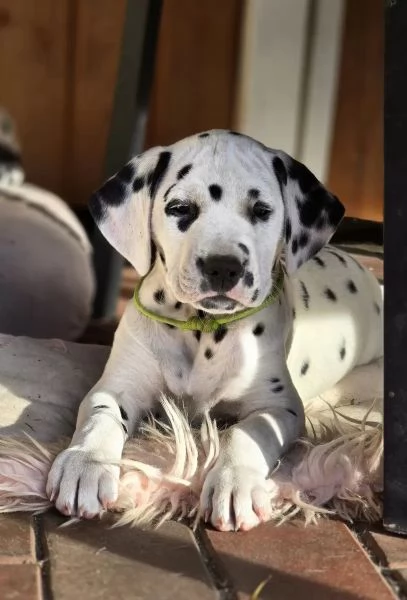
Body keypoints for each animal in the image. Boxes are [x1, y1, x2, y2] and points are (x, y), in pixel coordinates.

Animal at [46, 130, 384, 528]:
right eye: (180, 208)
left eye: (261, 211)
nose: (223, 267)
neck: (202, 328)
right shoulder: (119, 385)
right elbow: (100, 415)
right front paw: (86, 462)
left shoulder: (277, 406)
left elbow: (246, 432)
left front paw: (235, 481)